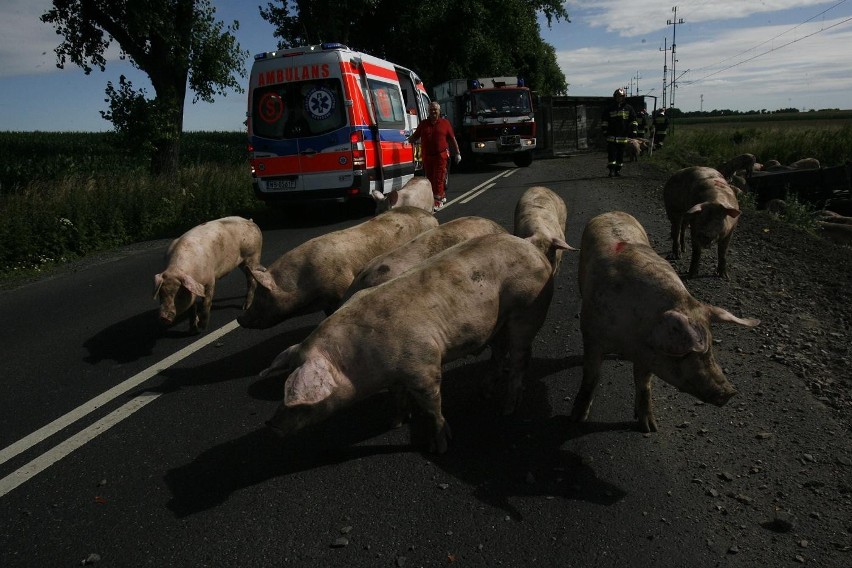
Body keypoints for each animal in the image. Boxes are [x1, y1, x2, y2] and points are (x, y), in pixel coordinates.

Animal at [262, 232, 560, 452]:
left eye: (295, 397)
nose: (269, 425)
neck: (360, 362)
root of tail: (530, 245)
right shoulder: (395, 375)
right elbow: (397, 397)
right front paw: (395, 423)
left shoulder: (422, 364)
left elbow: (432, 405)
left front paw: (439, 446)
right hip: (498, 322)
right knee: (499, 353)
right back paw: (483, 393)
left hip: (527, 307)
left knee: (520, 358)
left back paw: (507, 410)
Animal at [572, 212, 760, 430]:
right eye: (685, 353)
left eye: (712, 347)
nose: (730, 392)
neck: (633, 339)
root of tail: (611, 212)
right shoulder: (592, 336)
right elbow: (590, 378)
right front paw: (576, 419)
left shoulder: (647, 355)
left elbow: (644, 385)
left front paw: (649, 427)